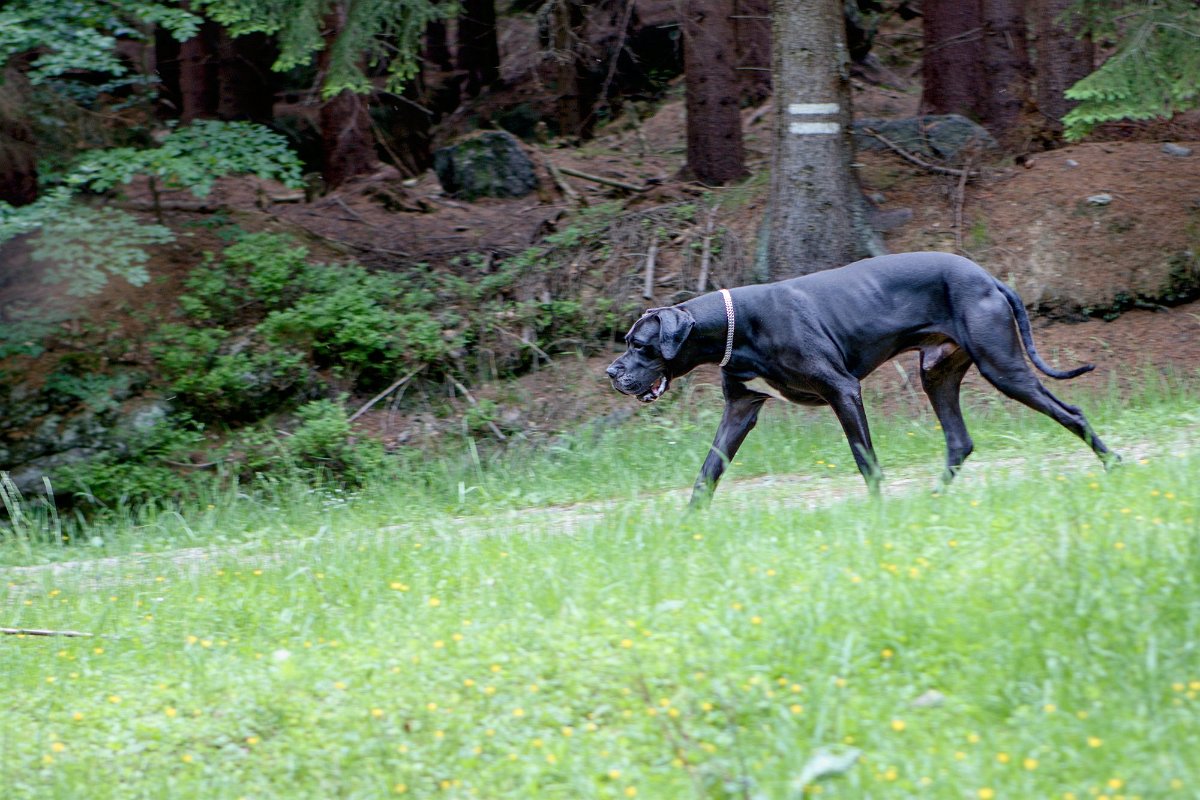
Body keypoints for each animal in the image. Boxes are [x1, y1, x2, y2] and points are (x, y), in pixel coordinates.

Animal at [604, 250, 1118, 503]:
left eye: (640, 345)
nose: (612, 372)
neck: (737, 326)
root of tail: (989, 278)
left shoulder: (843, 391)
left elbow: (864, 459)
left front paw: (876, 511)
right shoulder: (740, 409)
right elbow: (707, 472)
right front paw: (688, 522)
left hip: (1004, 367)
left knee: (1070, 412)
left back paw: (1114, 464)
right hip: (937, 374)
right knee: (959, 440)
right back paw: (934, 498)